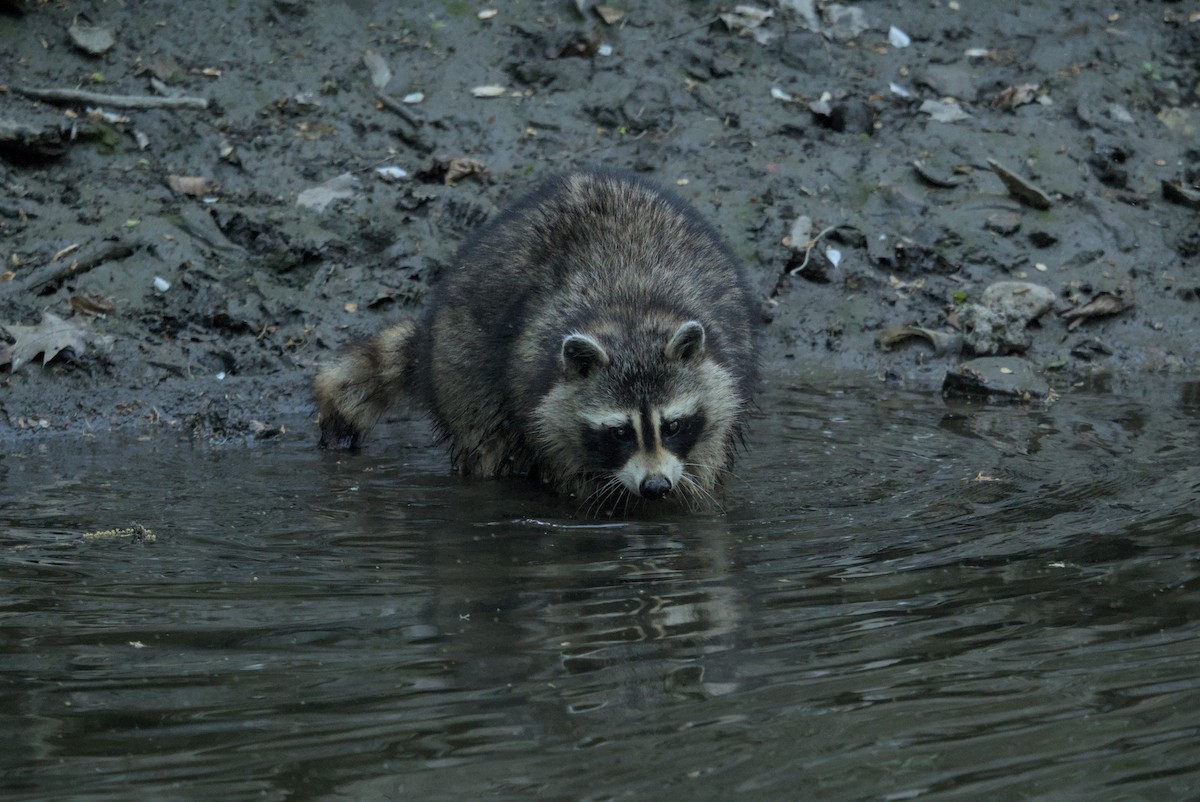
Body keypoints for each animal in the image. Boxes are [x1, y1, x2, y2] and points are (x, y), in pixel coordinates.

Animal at [314, 169, 757, 511]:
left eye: (674, 424)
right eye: (619, 432)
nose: (655, 486)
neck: (628, 316)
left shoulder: (722, 379)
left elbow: (706, 459)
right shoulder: (540, 394)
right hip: (459, 361)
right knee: (487, 444)